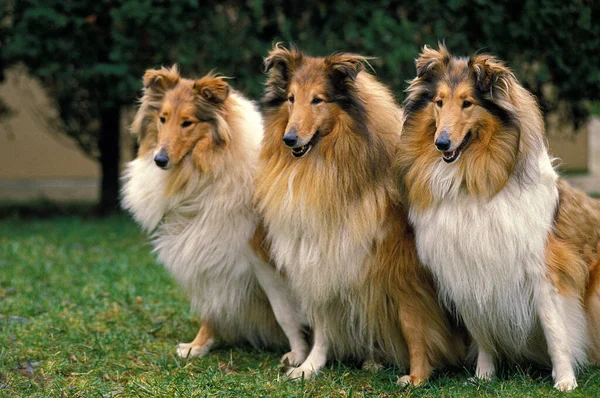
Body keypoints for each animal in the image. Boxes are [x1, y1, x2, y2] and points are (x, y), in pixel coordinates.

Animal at [122, 67, 310, 366]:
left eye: (187, 122)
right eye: (163, 118)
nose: (159, 160)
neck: (205, 169)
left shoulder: (261, 259)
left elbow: (285, 313)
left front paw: (299, 355)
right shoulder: (208, 252)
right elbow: (210, 307)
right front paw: (198, 346)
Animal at [254, 45, 464, 384]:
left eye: (318, 100)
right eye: (291, 98)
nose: (289, 139)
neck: (324, 166)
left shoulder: (405, 272)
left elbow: (414, 324)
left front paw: (417, 377)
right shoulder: (322, 258)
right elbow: (323, 325)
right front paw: (309, 367)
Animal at [398, 45, 600, 390]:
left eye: (468, 103)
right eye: (439, 102)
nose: (441, 143)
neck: (472, 181)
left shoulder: (543, 271)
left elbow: (555, 330)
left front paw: (565, 380)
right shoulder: (467, 272)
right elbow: (482, 332)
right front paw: (483, 375)